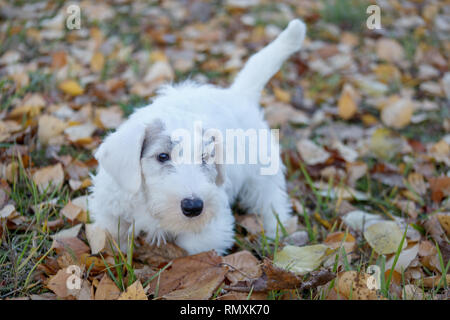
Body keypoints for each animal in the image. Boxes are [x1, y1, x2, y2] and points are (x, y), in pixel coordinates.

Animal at [89, 20, 306, 255]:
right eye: (162, 156)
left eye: (204, 158)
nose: (193, 207)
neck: (147, 202)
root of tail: (238, 95)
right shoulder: (110, 210)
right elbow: (111, 234)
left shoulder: (212, 226)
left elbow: (194, 246)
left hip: (262, 171)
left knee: (271, 200)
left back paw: (277, 231)